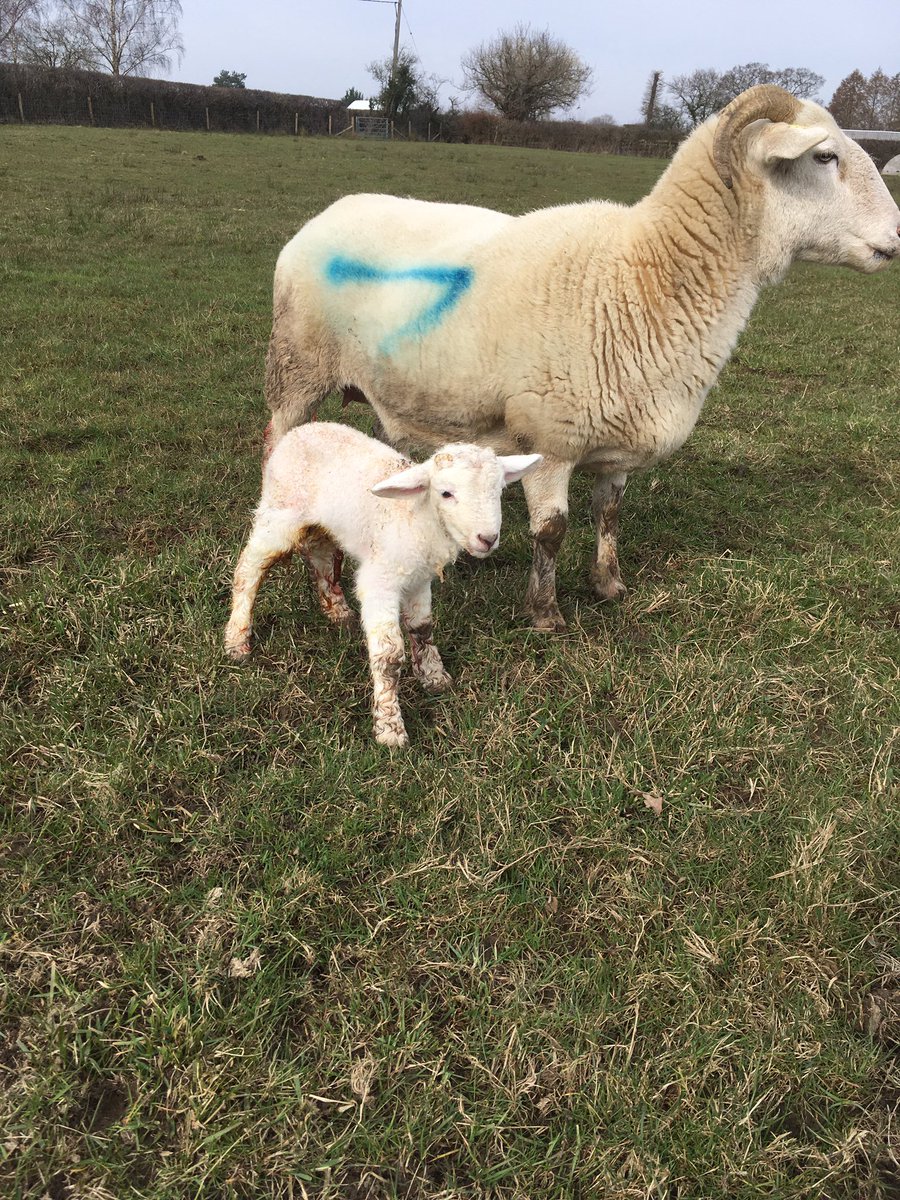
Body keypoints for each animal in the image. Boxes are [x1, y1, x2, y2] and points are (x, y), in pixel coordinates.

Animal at [224, 421, 541, 747]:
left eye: (499, 490)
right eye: (446, 493)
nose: (487, 539)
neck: (419, 517)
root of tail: (301, 429)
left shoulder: (418, 579)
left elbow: (422, 628)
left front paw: (434, 678)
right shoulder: (380, 581)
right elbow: (388, 657)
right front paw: (390, 728)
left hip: (320, 522)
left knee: (319, 552)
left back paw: (338, 611)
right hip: (279, 512)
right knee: (248, 569)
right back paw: (237, 640)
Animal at [262, 85, 900, 632]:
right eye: (824, 156)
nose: (896, 237)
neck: (643, 276)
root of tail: (328, 212)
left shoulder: (617, 446)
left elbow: (608, 516)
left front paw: (608, 585)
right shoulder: (549, 439)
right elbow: (551, 530)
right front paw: (544, 613)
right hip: (297, 370)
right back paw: (324, 587)